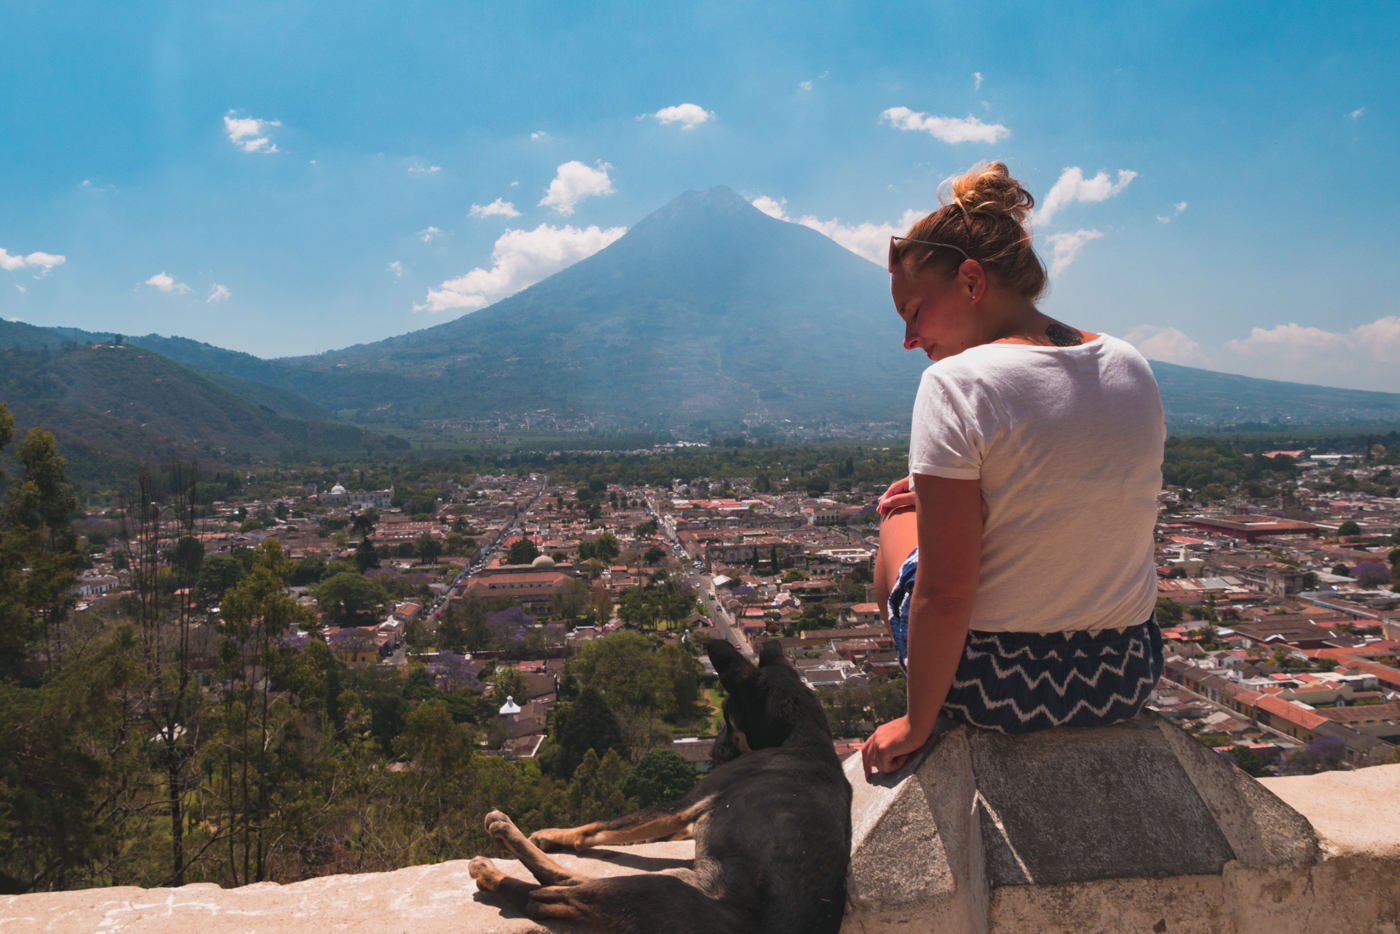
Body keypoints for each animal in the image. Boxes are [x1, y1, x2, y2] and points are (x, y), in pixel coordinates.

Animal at [470, 638, 851, 934]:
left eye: (727, 720)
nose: (712, 751)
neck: (802, 735)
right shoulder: (685, 821)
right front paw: (552, 835)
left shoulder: (682, 806)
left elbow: (597, 827)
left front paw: (553, 833)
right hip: (679, 876)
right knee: (568, 882)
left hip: (657, 889)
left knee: (543, 897)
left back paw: (495, 863)